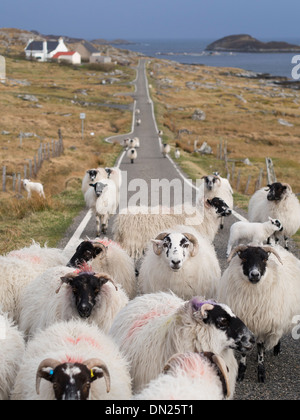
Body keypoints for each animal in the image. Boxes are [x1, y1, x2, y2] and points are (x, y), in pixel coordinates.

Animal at [217, 243, 300, 384]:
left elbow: (260, 347)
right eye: (244, 258)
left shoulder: (263, 324)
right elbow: (244, 351)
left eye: (264, 259)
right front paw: (241, 372)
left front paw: (261, 372)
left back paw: (276, 348)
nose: (255, 274)